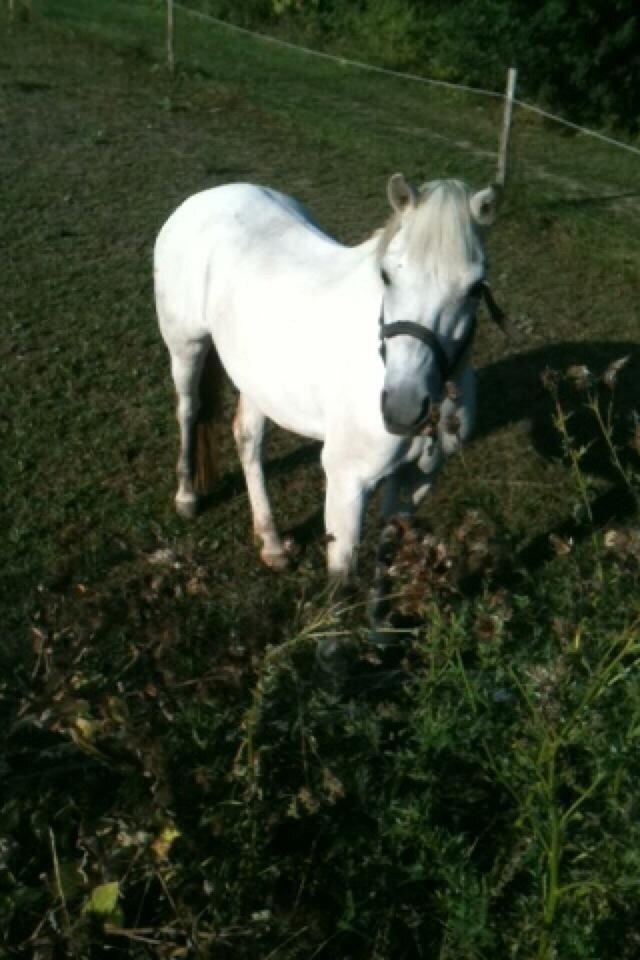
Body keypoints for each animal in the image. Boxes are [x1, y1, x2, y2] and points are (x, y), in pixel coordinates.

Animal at [154, 174, 501, 580]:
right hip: (187, 348)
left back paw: (271, 542)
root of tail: (207, 197)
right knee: (188, 411)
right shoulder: (346, 482)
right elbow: (341, 581)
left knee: (248, 439)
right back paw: (187, 496)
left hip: (256, 378)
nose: (403, 407)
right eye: (386, 276)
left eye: (476, 288)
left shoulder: (417, 480)